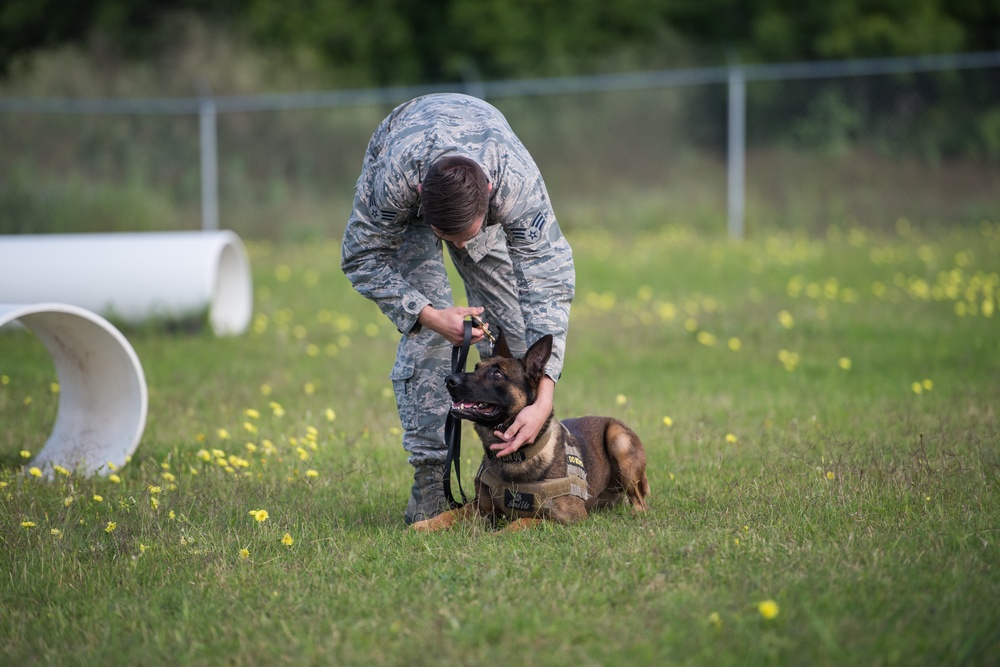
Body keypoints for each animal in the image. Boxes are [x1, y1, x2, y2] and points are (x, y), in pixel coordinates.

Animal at [408, 332, 648, 536]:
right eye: (476, 367)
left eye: (497, 374)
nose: (449, 380)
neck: (514, 456)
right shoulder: (480, 509)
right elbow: (451, 513)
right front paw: (425, 524)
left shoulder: (571, 517)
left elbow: (525, 520)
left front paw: (498, 534)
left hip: (618, 440)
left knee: (640, 501)